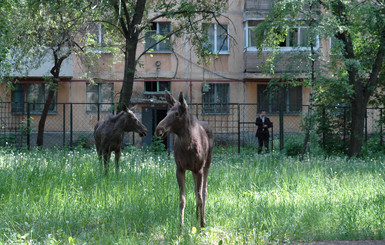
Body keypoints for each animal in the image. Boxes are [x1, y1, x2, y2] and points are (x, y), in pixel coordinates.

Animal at [154, 90, 213, 228]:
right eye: (166, 113)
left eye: (177, 114)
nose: (158, 129)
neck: (188, 147)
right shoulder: (180, 168)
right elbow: (182, 200)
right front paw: (181, 226)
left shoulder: (199, 169)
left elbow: (200, 197)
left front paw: (202, 224)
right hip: (193, 170)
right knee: (196, 190)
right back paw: (196, 215)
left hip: (207, 164)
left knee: (204, 191)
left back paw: (202, 218)